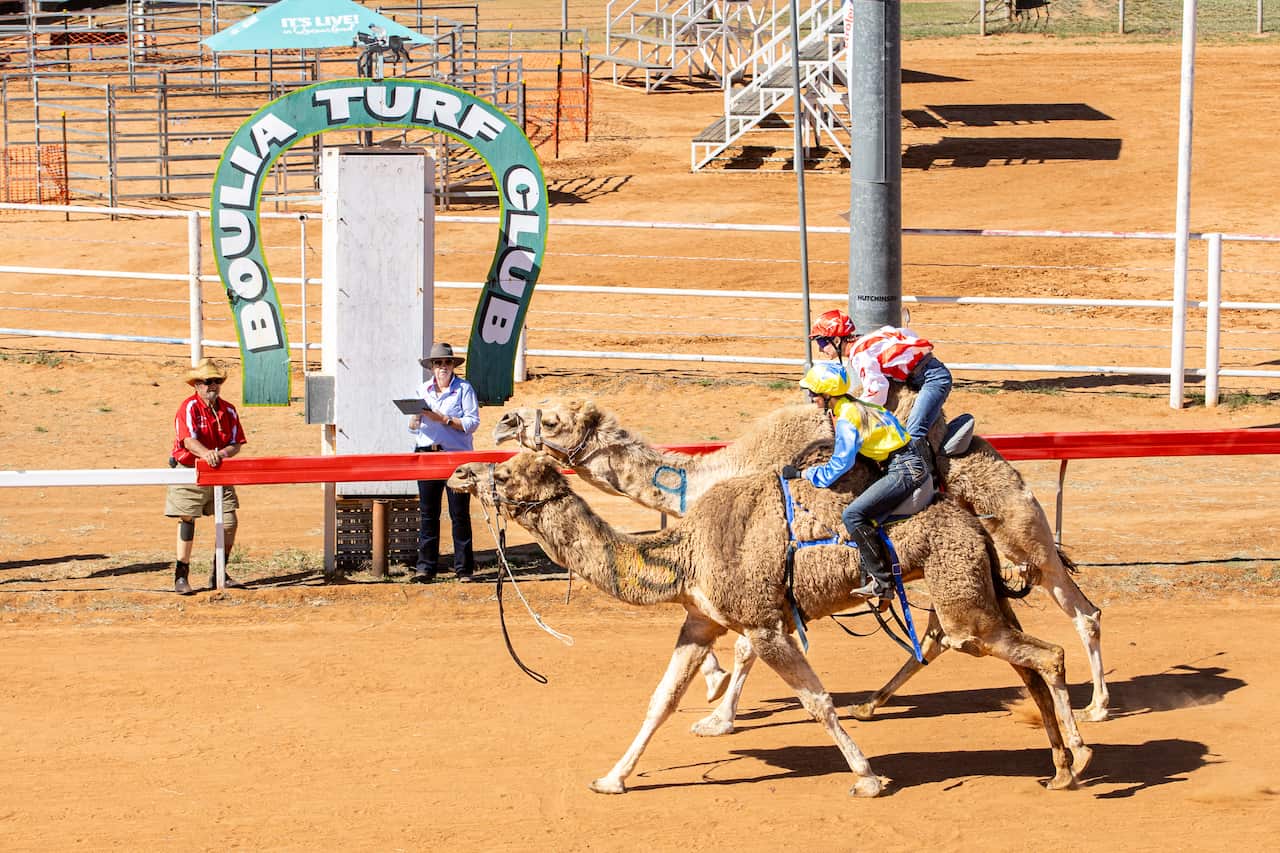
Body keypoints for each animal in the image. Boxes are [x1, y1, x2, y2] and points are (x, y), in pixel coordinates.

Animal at [447, 452, 1091, 795]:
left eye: (509, 472)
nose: (461, 473)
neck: (685, 552)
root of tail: (977, 524)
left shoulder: (763, 624)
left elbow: (817, 702)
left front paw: (868, 779)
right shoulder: (699, 622)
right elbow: (660, 701)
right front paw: (612, 778)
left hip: (962, 601)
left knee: (1045, 654)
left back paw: (1080, 757)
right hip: (977, 594)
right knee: (1020, 660)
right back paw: (1059, 767)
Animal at [493, 396, 1109, 722]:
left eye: (551, 419)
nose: (503, 421)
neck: (706, 480)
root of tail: (989, 452)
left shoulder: (760, 565)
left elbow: (746, 646)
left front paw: (719, 717)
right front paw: (713, 689)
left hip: (1019, 530)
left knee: (1082, 610)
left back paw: (1098, 708)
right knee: (940, 633)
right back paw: (872, 703)